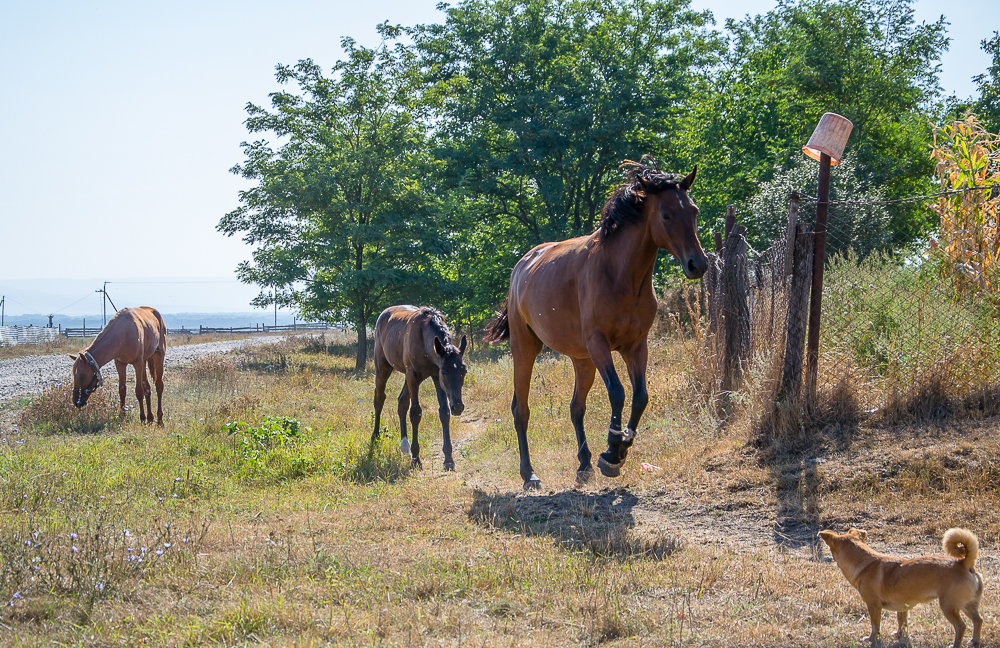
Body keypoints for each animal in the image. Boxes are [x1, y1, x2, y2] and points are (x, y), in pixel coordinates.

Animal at [372, 306, 468, 468]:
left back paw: (404, 445)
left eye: (464, 370)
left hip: (406, 376)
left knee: (402, 402)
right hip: (383, 368)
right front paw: (416, 457)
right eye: (445, 371)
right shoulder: (414, 376)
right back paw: (375, 438)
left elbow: (444, 412)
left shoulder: (435, 377)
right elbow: (415, 413)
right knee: (379, 399)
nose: (458, 407)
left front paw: (448, 458)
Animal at [486, 161, 712, 486]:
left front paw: (620, 449)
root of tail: (522, 266)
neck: (620, 274)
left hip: (582, 360)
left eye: (693, 210)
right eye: (666, 215)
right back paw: (529, 474)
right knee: (521, 410)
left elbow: (640, 396)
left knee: (576, 408)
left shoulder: (636, 346)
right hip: (526, 348)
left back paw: (584, 464)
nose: (698, 264)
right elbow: (617, 393)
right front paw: (613, 450)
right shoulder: (599, 345)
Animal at [820, 528, 984, 644]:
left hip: (949, 607)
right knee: (978, 620)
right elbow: (902, 623)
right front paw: (899, 636)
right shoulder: (902, 607)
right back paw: (974, 641)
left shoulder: (873, 606)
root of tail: (963, 563)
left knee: (961, 627)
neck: (865, 563)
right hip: (968, 605)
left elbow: (875, 626)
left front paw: (871, 639)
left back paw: (956, 644)